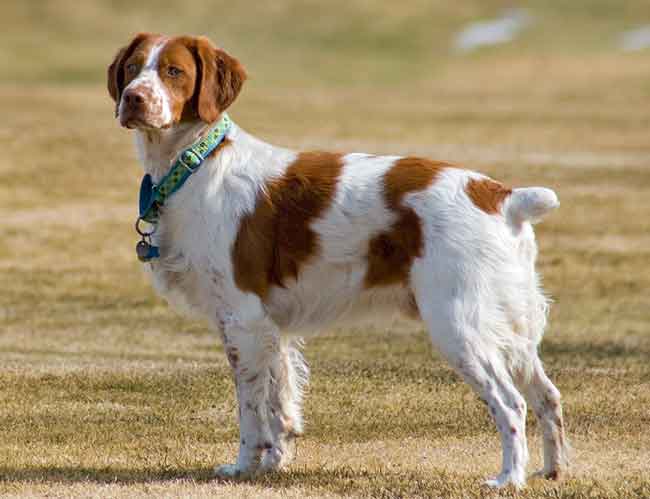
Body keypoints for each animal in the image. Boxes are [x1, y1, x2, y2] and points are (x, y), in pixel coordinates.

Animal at [107, 32, 568, 488]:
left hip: (459, 325)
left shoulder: (242, 319)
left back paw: (509, 478)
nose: (133, 98)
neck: (197, 164)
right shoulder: (271, 327)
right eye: (132, 67)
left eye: (174, 71)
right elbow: (280, 402)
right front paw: (274, 464)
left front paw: (243, 467)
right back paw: (551, 471)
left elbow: (251, 410)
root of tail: (502, 196)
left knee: (511, 403)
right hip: (512, 328)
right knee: (547, 396)